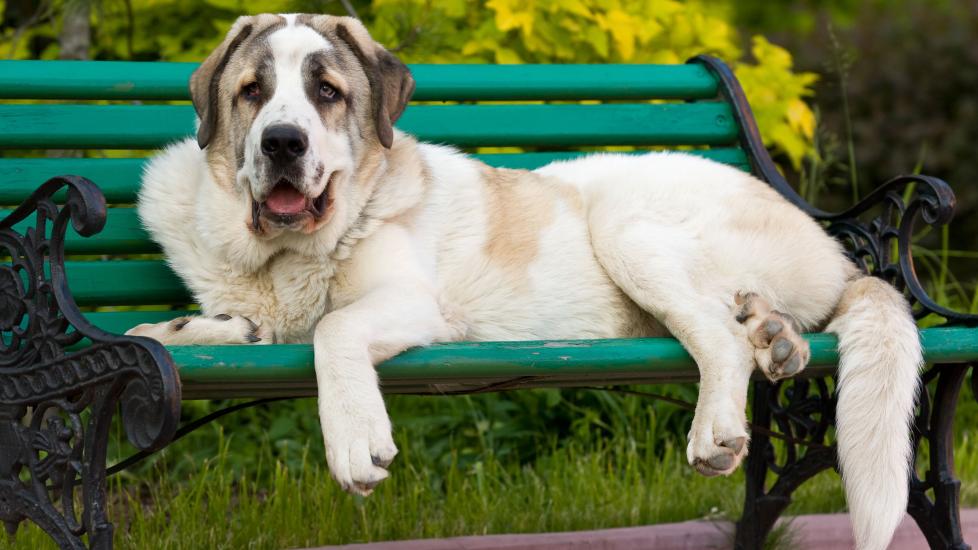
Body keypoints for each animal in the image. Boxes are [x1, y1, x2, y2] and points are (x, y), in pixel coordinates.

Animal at [127, 14, 924, 550]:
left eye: (326, 91)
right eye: (251, 92)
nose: (282, 143)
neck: (287, 256)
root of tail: (831, 245)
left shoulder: (414, 305)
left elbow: (333, 327)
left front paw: (356, 437)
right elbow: (185, 326)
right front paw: (184, 328)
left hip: (624, 225)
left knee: (716, 341)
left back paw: (721, 419)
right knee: (745, 326)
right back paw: (776, 338)